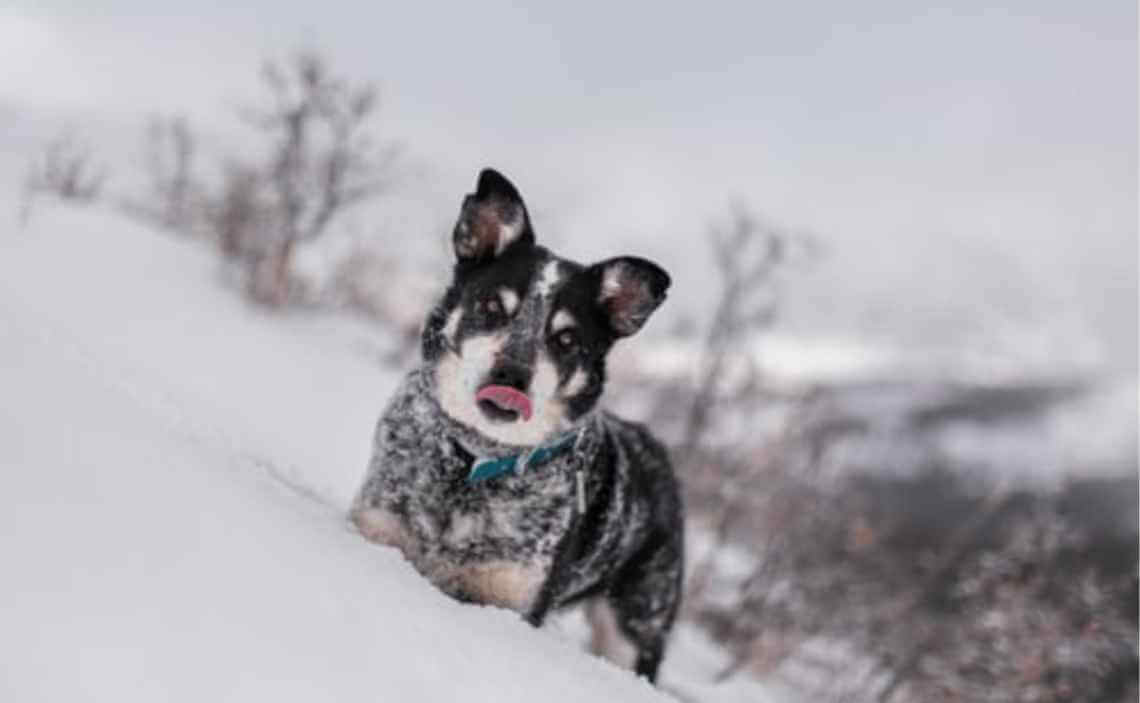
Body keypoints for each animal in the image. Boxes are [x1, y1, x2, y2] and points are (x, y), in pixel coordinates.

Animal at [351, 166, 679, 679]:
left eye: (566, 339)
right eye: (491, 307)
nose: (512, 375)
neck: (474, 462)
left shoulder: (510, 596)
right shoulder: (378, 527)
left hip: (635, 627)